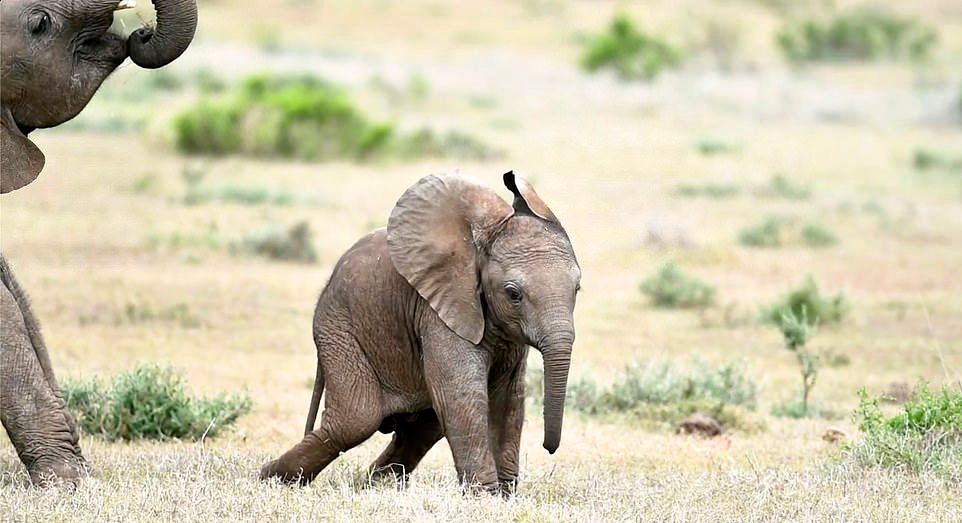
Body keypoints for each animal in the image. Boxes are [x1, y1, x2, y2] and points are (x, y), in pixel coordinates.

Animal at [258, 173, 580, 496]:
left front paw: (504, 496)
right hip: (337, 328)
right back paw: (268, 479)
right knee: (356, 420)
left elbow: (508, 398)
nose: (549, 448)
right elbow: (461, 395)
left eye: (577, 289)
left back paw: (374, 484)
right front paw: (484, 497)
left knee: (422, 427)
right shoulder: (438, 310)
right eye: (513, 294)